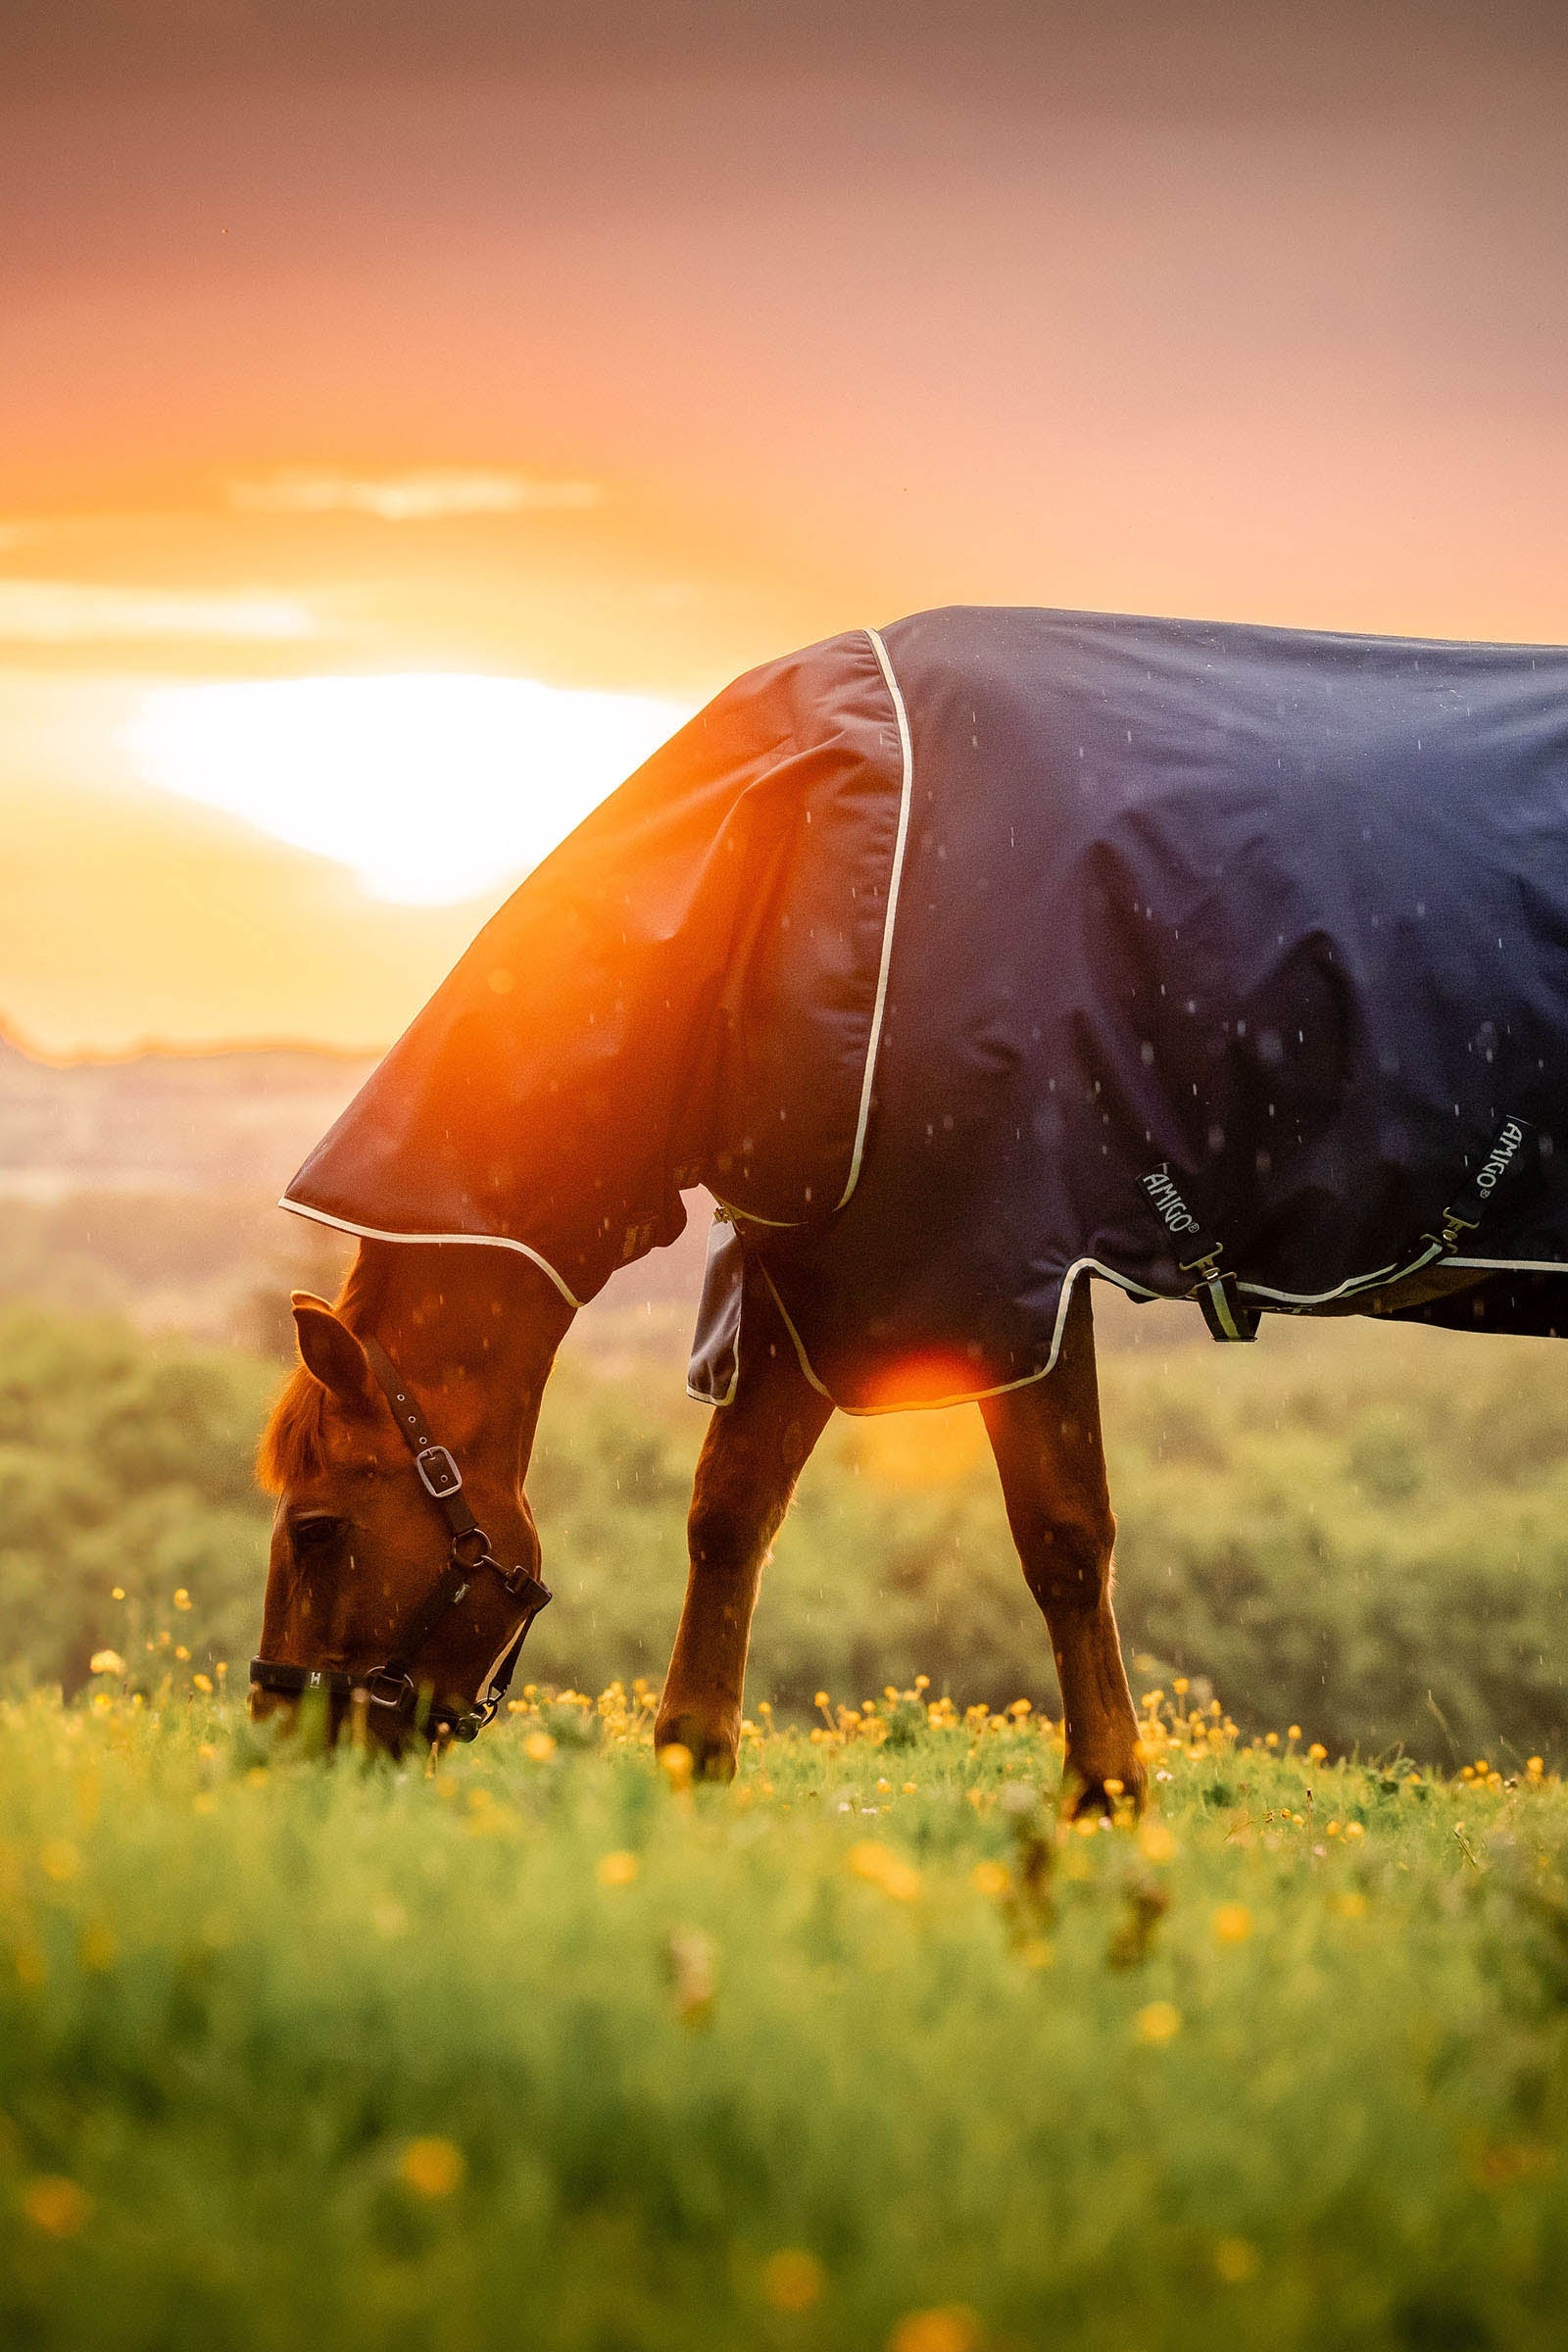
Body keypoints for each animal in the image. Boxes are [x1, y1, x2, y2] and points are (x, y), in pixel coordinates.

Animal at [252, 605, 1568, 1807]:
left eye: (317, 1527)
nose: (283, 1743)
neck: (797, 850)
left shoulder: (1002, 1269)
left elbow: (1062, 1536)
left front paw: (1106, 1792)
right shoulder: (821, 1258)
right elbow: (729, 1510)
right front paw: (694, 1761)